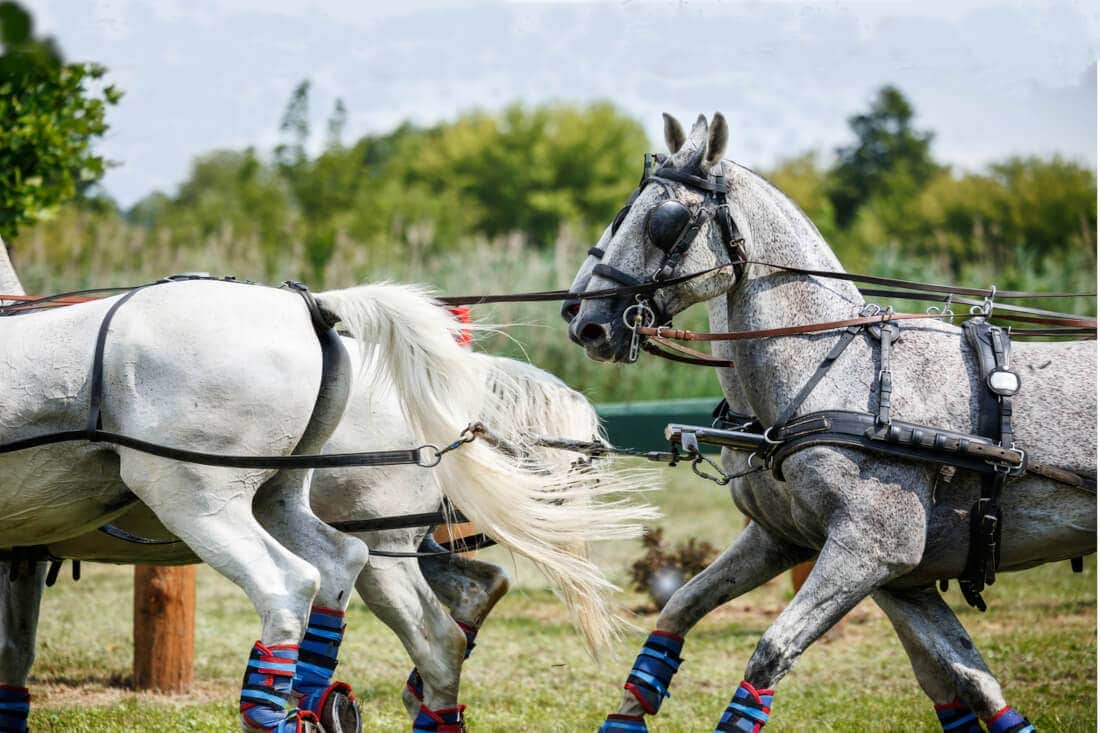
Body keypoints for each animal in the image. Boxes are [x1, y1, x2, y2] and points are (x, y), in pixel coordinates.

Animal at [0, 275, 651, 732]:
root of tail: (312, 308)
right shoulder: (22, 553)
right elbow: (14, 654)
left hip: (207, 501)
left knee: (298, 588)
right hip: (292, 504)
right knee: (410, 594)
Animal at [567, 113, 1095, 732]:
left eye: (664, 221)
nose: (587, 323)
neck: (829, 371)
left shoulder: (869, 550)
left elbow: (772, 650)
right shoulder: (826, 552)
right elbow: (680, 605)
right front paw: (627, 716)